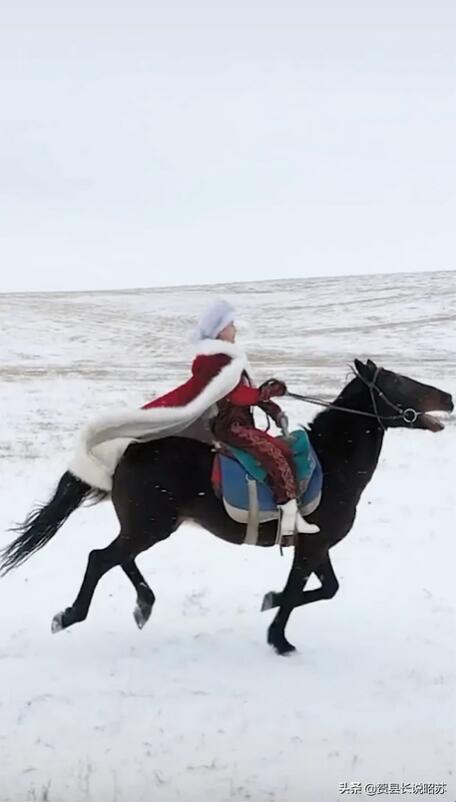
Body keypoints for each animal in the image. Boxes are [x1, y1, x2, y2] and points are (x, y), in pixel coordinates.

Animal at [1, 360, 452, 652]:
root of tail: (126, 451)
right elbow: (298, 591)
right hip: (150, 525)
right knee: (100, 558)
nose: (448, 397)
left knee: (118, 557)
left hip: (148, 526)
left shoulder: (316, 546)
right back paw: (69, 615)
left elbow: (327, 589)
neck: (331, 462)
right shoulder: (311, 547)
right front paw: (279, 638)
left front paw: (270, 603)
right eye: (399, 382)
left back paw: (143, 606)